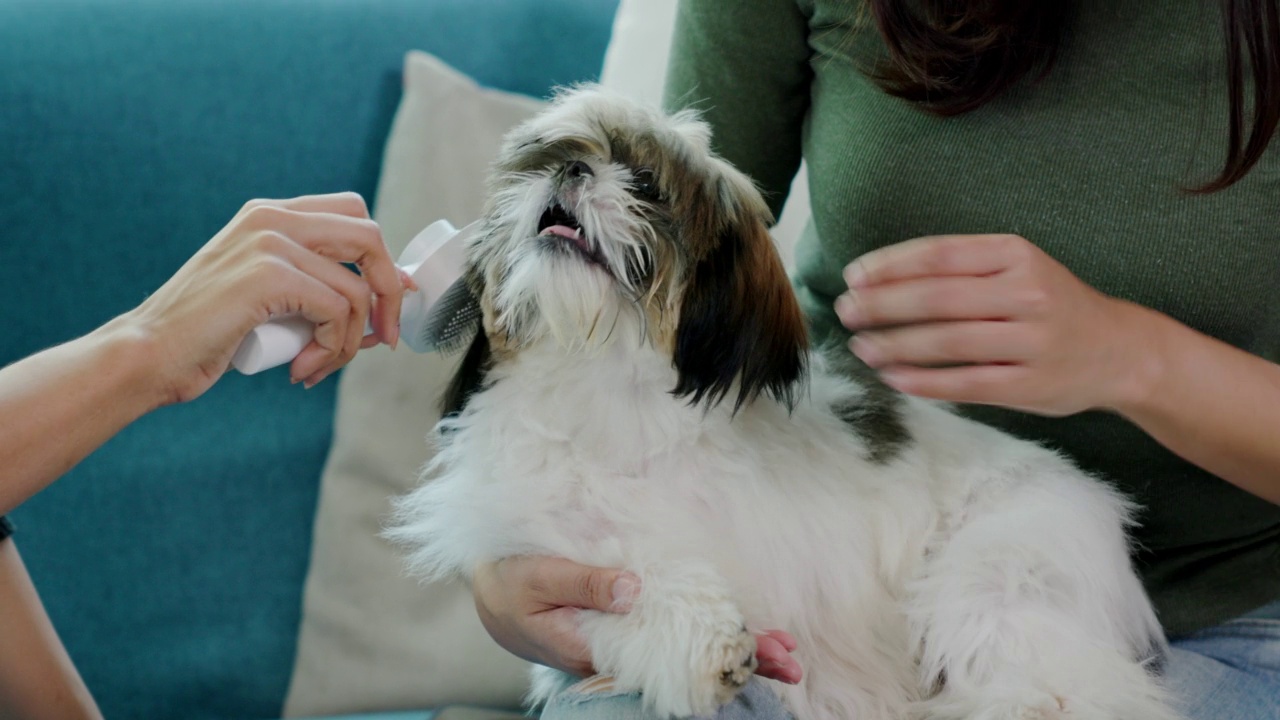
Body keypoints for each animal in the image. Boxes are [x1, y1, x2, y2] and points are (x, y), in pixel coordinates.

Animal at [386, 85, 1177, 717]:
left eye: (646, 182)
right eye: (544, 159)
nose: (572, 169)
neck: (598, 393)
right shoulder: (542, 550)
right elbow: (622, 591)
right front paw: (704, 647)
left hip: (998, 574)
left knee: (1062, 687)